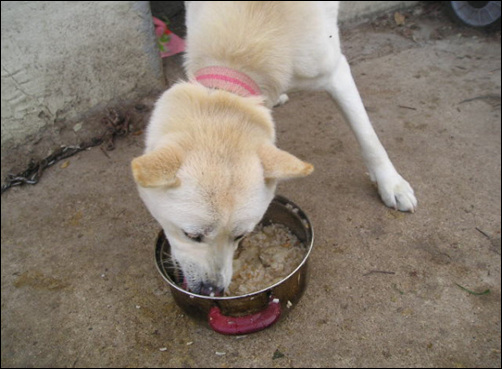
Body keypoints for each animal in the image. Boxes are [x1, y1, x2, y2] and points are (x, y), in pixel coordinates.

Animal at [131, 2, 418, 296]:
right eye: (191, 235)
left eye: (241, 235)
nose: (212, 291)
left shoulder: (335, 72)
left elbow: (368, 136)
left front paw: (391, 183)